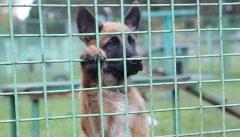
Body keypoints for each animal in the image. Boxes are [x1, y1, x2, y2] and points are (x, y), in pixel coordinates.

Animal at [76, 0, 148, 136]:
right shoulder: (97, 131)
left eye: (132, 41)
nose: (138, 60)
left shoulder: (141, 129)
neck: (117, 91)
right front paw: (91, 69)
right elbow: (91, 96)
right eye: (112, 43)